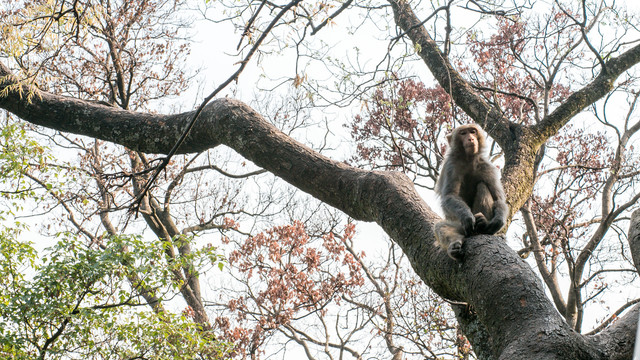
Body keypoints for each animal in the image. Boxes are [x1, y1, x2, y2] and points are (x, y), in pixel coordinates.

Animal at [436, 124, 510, 258]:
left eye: (472, 131)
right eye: (463, 133)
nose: (470, 138)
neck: (468, 159)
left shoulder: (487, 166)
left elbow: (498, 199)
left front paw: (498, 221)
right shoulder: (451, 166)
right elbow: (450, 196)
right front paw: (466, 216)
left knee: (482, 186)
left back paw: (482, 224)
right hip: (461, 226)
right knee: (441, 226)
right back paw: (454, 246)